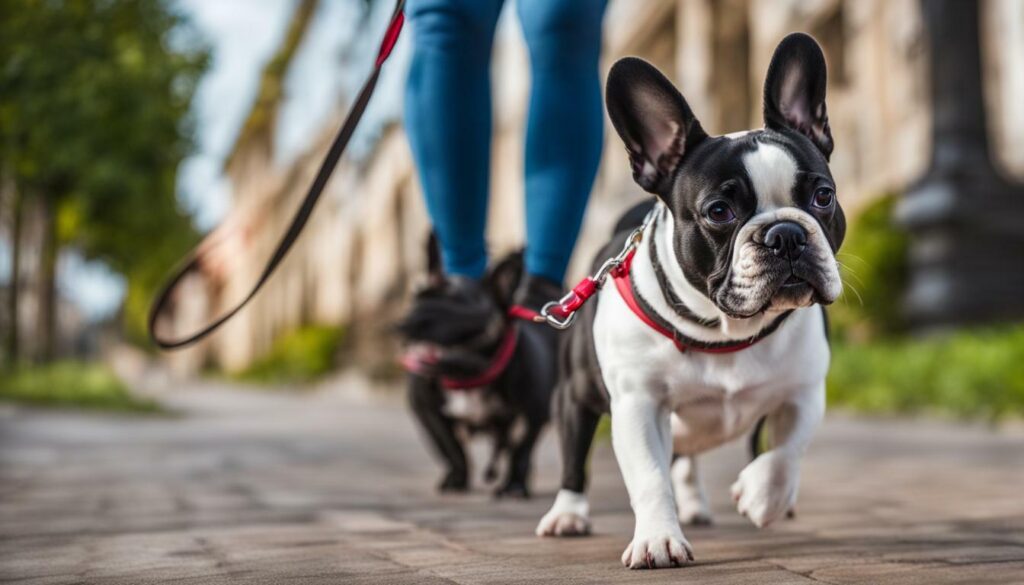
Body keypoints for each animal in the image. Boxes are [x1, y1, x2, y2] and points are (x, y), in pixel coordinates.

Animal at [397, 237, 557, 499]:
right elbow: (450, 447)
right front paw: (456, 479)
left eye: (459, 307)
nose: (410, 322)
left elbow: (521, 450)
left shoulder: (533, 414)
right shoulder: (428, 412)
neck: (468, 376)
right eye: (418, 297)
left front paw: (514, 485)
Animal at [532, 34, 843, 569]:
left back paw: (700, 503)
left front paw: (761, 496)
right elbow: (650, 477)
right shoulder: (638, 404)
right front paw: (658, 539)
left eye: (822, 196)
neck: (724, 331)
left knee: (690, 458)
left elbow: (786, 453)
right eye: (719, 211)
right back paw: (568, 515)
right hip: (575, 396)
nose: (786, 234)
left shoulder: (805, 390)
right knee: (577, 459)